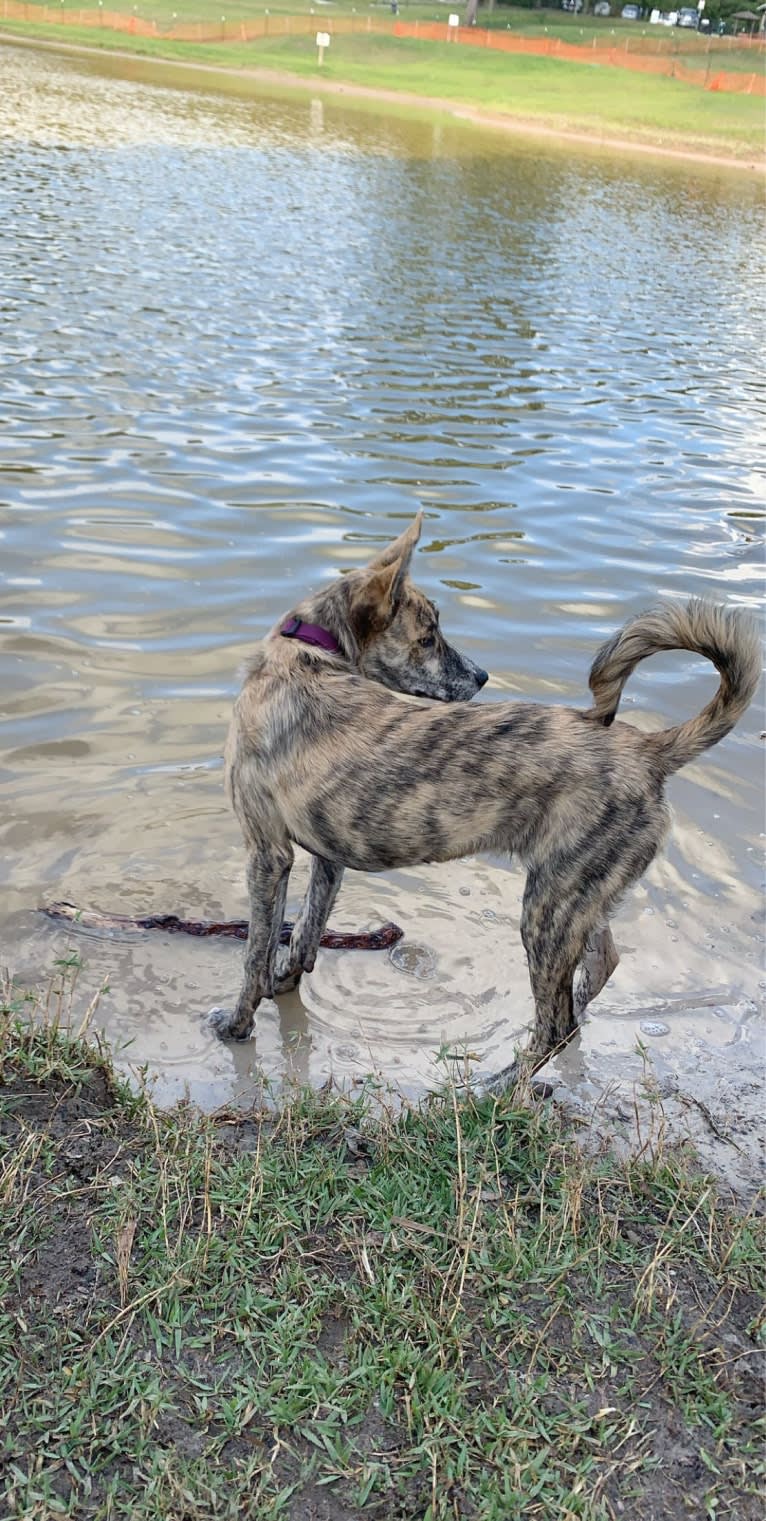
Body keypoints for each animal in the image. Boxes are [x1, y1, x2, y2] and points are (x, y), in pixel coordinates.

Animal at [208, 517, 759, 1089]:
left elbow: (255, 952)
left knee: (555, 1021)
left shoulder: (268, 855)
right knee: (596, 972)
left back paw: (500, 1086)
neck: (309, 658)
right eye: (427, 638)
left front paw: (238, 1023)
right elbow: (305, 932)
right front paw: (286, 982)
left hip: (547, 911)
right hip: (582, 895)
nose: (481, 677)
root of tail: (648, 749)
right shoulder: (327, 857)